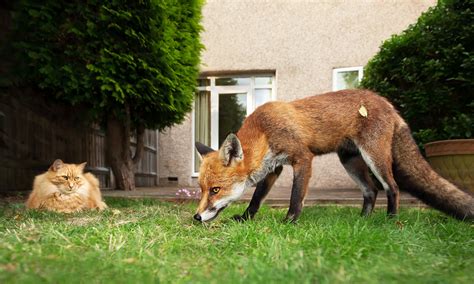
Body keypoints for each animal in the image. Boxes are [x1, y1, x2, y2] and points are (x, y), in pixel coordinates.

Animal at [193, 90, 474, 223]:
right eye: (202, 189)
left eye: (216, 190)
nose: (196, 217)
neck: (264, 130)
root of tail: (388, 103)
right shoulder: (274, 168)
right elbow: (256, 199)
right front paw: (245, 218)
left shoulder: (302, 158)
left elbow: (296, 196)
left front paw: (290, 221)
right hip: (350, 162)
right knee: (371, 190)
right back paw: (363, 221)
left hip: (374, 157)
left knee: (391, 187)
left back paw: (390, 220)